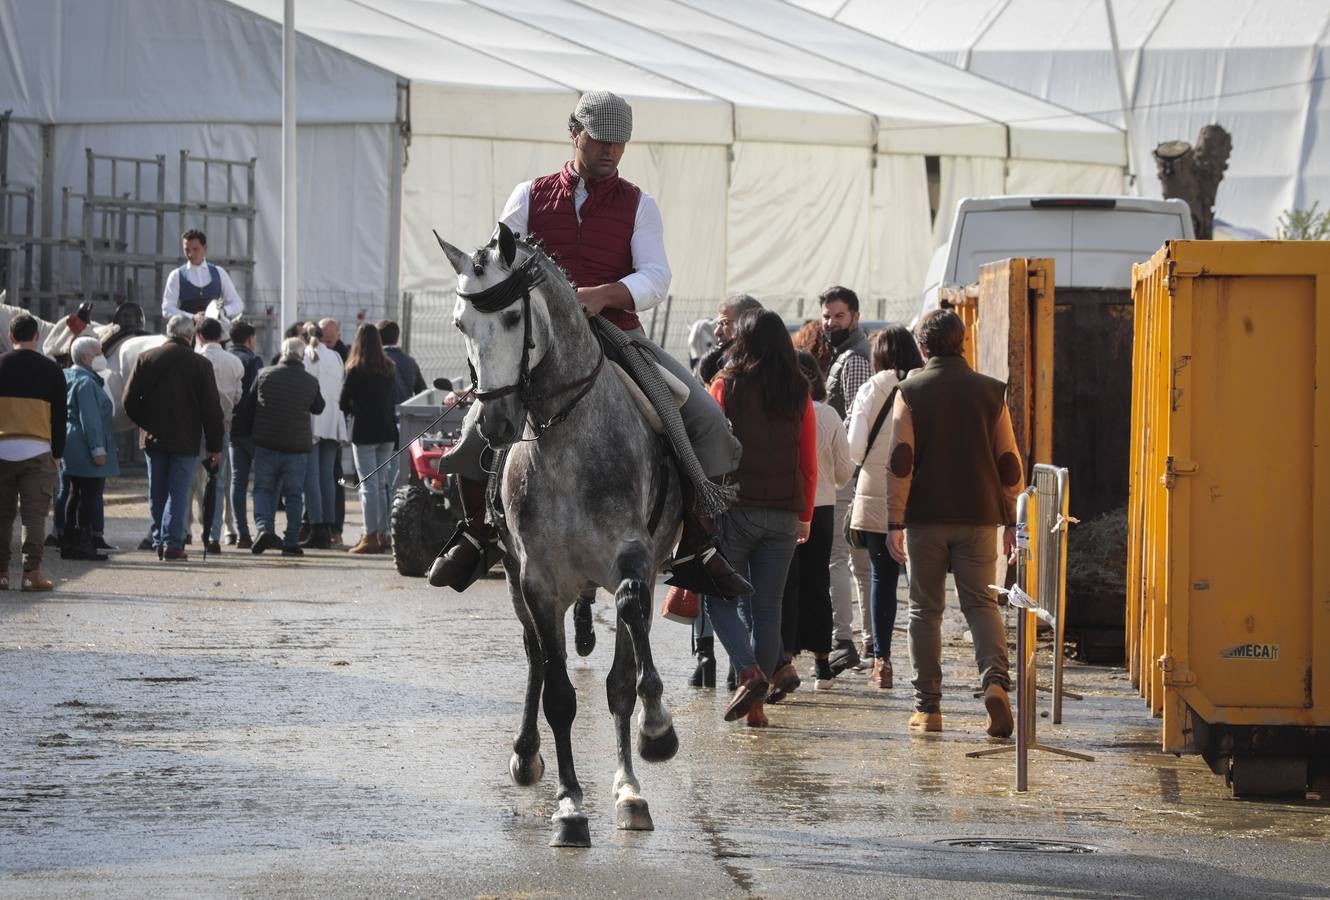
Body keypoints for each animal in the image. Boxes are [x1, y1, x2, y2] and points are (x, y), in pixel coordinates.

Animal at [438, 224, 680, 850]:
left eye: (511, 318)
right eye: (461, 324)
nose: (496, 424)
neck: (566, 439)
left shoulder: (634, 558)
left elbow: (625, 663)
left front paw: (652, 740)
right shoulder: (538, 581)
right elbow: (559, 695)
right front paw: (570, 805)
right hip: (518, 584)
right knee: (535, 658)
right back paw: (526, 756)